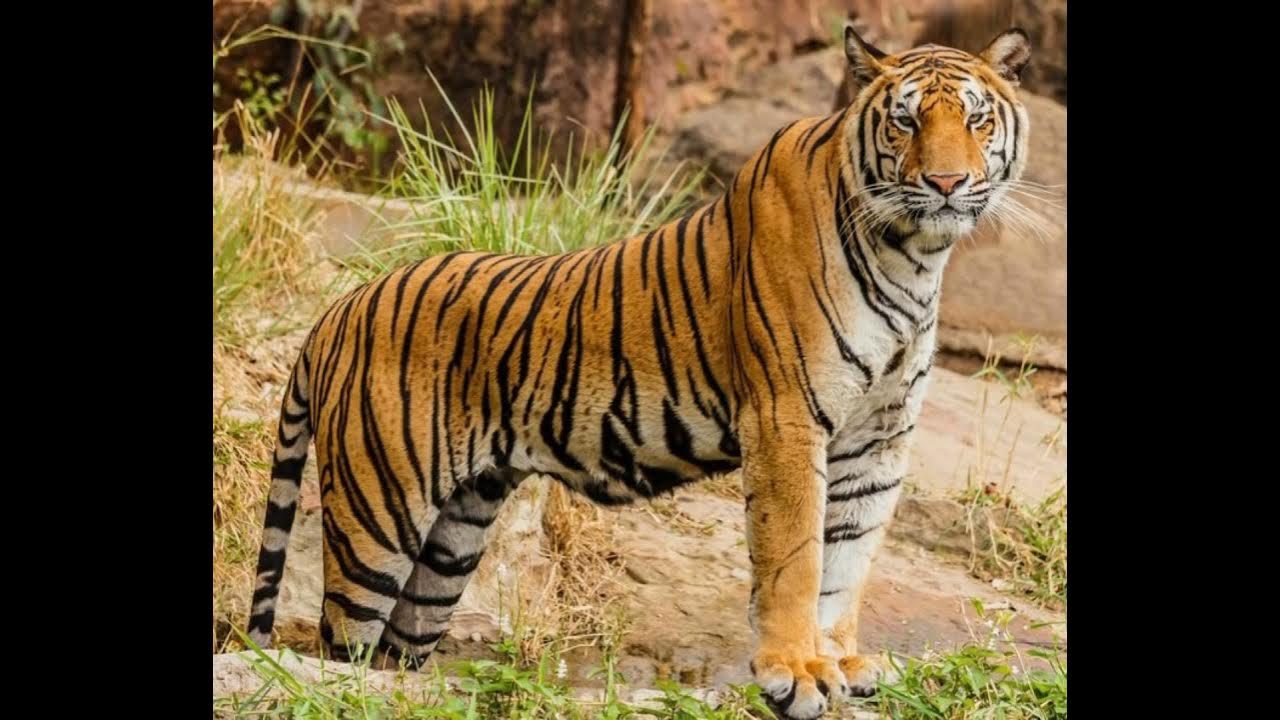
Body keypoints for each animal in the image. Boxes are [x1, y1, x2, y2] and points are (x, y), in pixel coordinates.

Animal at [244, 25, 1031, 720]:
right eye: (904, 122)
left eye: (976, 118)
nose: (947, 182)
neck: (914, 256)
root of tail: (339, 308)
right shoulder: (787, 418)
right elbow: (797, 557)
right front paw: (796, 674)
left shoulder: (879, 437)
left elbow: (848, 561)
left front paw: (837, 661)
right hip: (377, 516)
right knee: (340, 649)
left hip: (452, 539)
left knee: (393, 656)